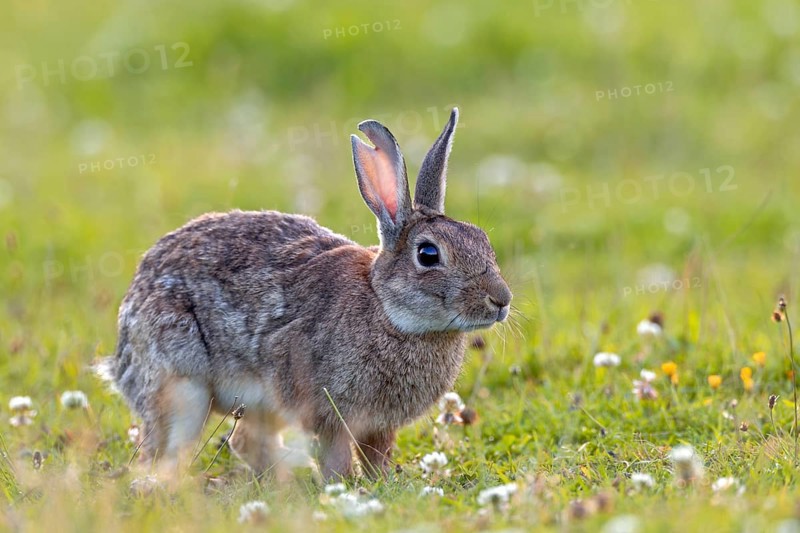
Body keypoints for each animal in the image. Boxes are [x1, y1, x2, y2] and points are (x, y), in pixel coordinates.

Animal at [96, 108, 512, 480]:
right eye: (428, 254)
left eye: (482, 238)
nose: (501, 300)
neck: (385, 308)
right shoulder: (327, 412)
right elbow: (337, 457)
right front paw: (342, 486)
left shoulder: (379, 426)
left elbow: (376, 457)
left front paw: (383, 484)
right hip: (182, 389)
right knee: (165, 450)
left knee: (246, 441)